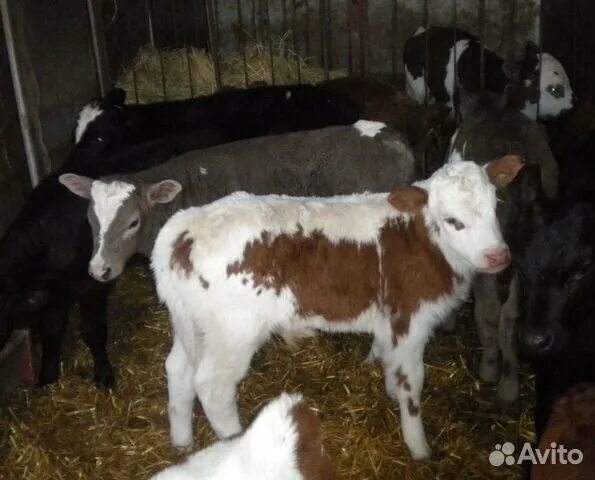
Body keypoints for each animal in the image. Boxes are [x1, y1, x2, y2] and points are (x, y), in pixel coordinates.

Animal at [151, 157, 524, 458]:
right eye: (452, 220)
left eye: (495, 207)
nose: (498, 256)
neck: (420, 237)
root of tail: (186, 226)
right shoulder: (410, 318)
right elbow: (412, 382)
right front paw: (419, 448)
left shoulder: (387, 320)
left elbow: (386, 359)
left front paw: (388, 389)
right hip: (234, 331)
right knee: (212, 386)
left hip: (191, 324)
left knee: (178, 370)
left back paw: (182, 442)